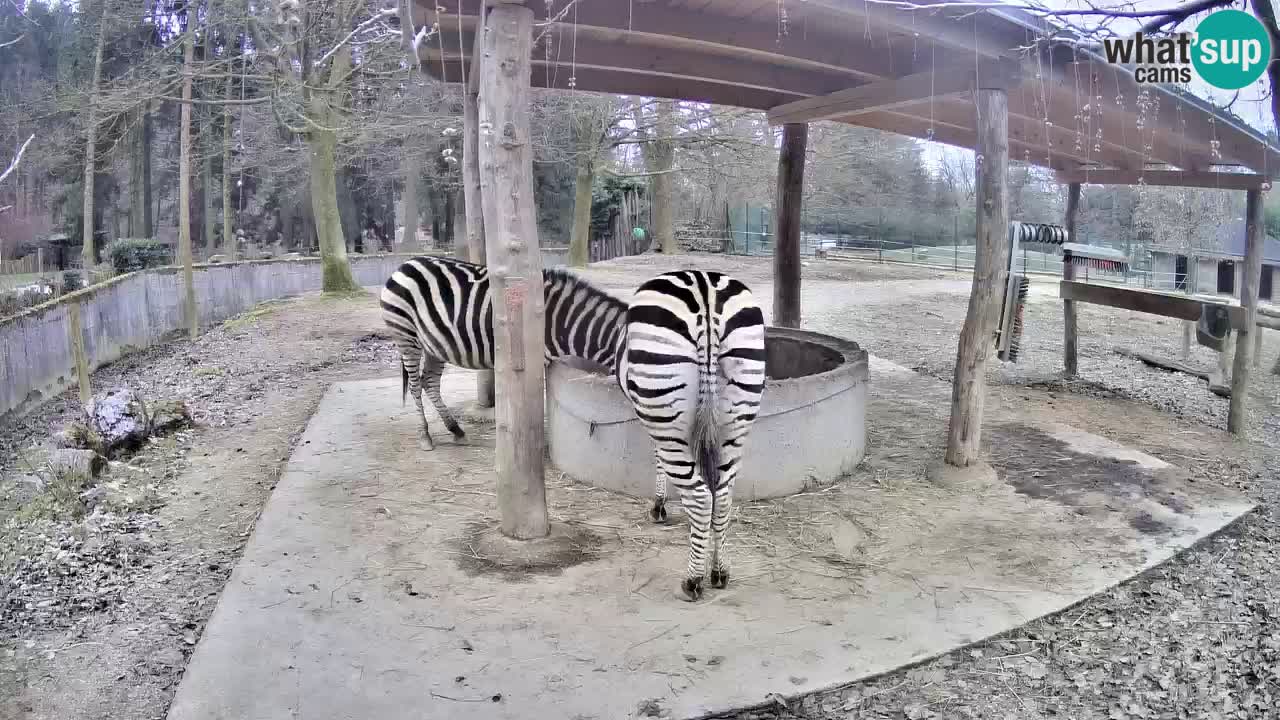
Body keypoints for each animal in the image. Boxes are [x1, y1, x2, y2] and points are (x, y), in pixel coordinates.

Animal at [614, 269, 762, 599]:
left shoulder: (651, 413)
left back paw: (693, 580)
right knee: (722, 495)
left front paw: (659, 506)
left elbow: (659, 458)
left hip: (664, 406)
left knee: (700, 495)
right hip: (738, 412)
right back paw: (719, 572)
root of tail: (705, 291)